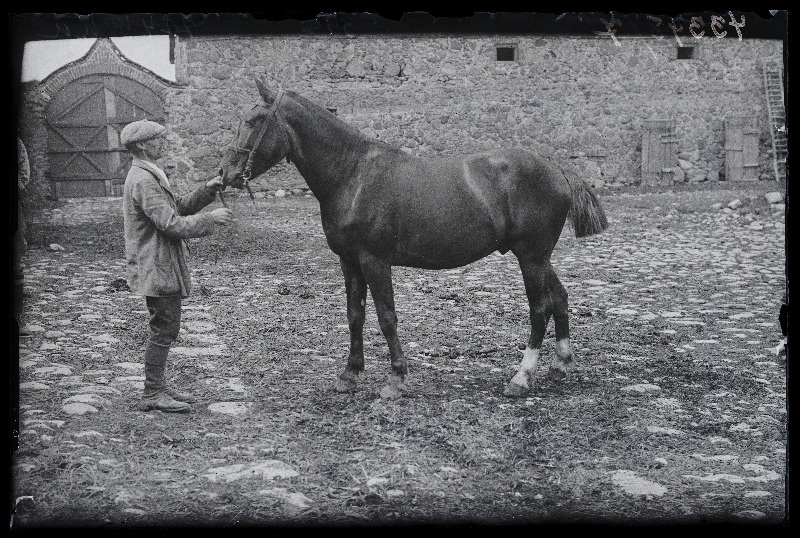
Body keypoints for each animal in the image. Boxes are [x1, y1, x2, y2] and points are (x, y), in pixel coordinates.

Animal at [217, 78, 608, 398]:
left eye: (253, 121)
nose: (225, 173)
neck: (352, 173)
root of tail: (556, 168)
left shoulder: (375, 261)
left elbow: (386, 316)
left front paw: (396, 379)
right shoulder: (349, 261)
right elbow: (355, 315)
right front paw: (349, 374)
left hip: (531, 256)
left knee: (539, 308)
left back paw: (521, 378)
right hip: (537, 257)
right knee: (559, 297)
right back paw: (560, 362)